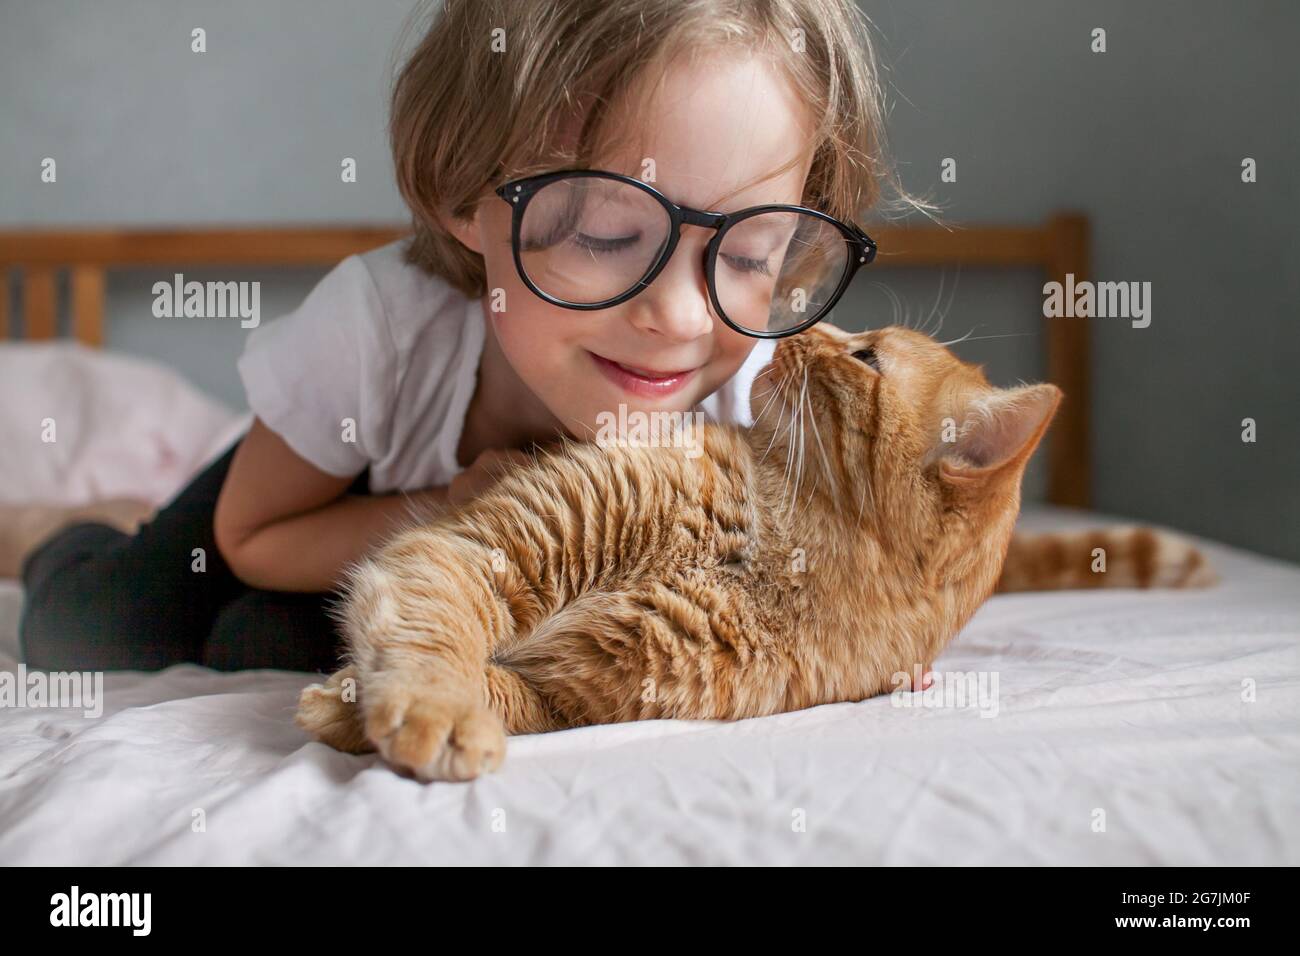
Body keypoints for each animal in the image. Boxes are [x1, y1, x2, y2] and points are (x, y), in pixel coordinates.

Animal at [295, 325, 1206, 780]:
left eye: (864, 354)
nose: (801, 321)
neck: (770, 542)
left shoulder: (579, 696)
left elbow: (504, 694)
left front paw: (357, 710)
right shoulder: (477, 547)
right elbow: (436, 642)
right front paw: (424, 709)